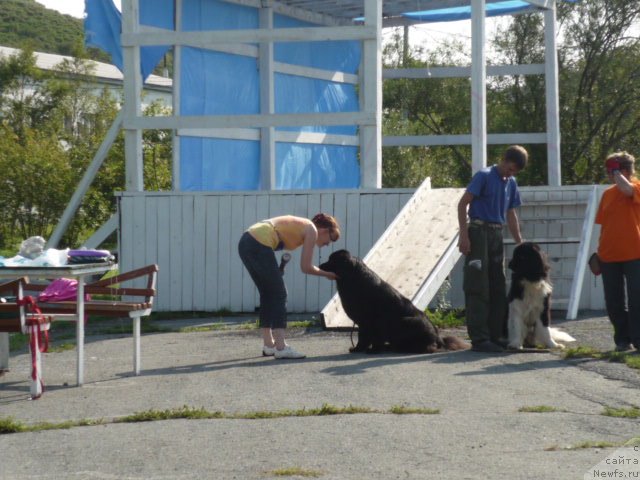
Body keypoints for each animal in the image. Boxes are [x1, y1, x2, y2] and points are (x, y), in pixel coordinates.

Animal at [318, 249, 464, 354]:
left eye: (332, 260)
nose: (319, 265)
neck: (353, 278)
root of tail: (439, 339)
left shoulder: (373, 320)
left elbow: (371, 337)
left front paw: (373, 350)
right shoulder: (363, 323)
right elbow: (362, 337)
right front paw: (358, 349)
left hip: (407, 321)